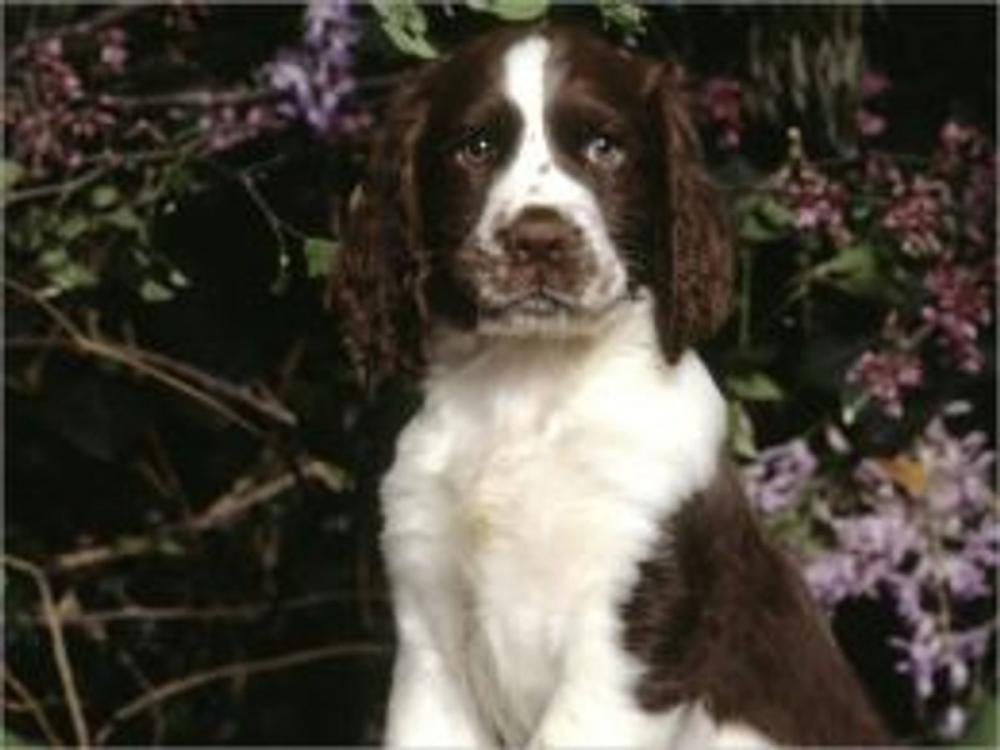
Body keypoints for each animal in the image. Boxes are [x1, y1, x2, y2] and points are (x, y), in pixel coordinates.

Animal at [336, 22, 892, 748]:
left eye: (606, 147)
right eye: (475, 147)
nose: (538, 241)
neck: (527, 387)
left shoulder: (634, 624)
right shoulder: (430, 638)